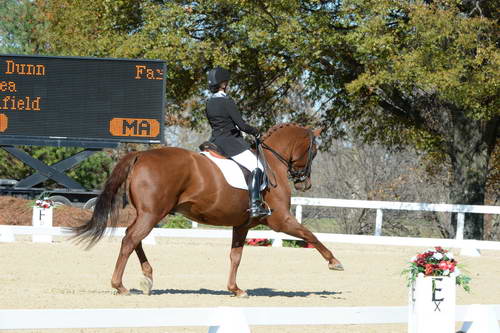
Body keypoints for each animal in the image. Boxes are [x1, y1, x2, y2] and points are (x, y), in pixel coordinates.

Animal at [72, 122, 342, 296]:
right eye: (314, 151)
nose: (305, 183)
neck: (271, 164)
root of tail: (142, 155)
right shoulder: (281, 220)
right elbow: (310, 235)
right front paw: (335, 262)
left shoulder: (242, 224)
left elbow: (235, 256)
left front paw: (235, 289)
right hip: (152, 214)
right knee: (129, 240)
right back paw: (120, 285)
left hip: (146, 214)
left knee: (132, 237)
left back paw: (147, 278)